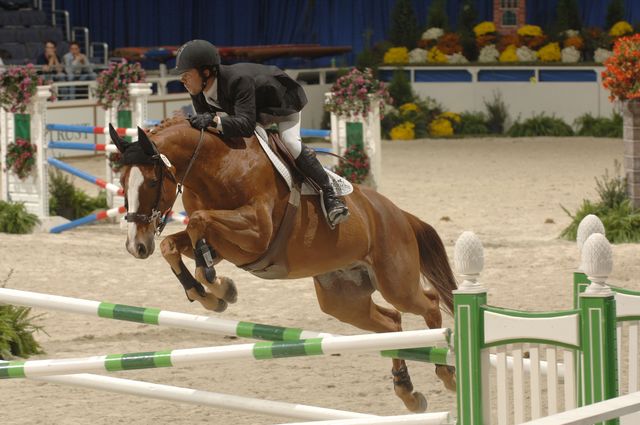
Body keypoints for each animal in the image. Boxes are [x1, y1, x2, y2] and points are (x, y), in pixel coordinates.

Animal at [111, 117, 460, 410]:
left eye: (151, 183)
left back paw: (447, 372)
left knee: (428, 304)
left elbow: (198, 221)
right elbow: (173, 243)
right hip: (343, 300)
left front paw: (217, 285)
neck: (217, 165)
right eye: (122, 181)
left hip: (395, 281)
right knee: (391, 323)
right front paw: (208, 294)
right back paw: (407, 391)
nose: (136, 246)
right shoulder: (229, 247)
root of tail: (399, 214)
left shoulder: (257, 232)